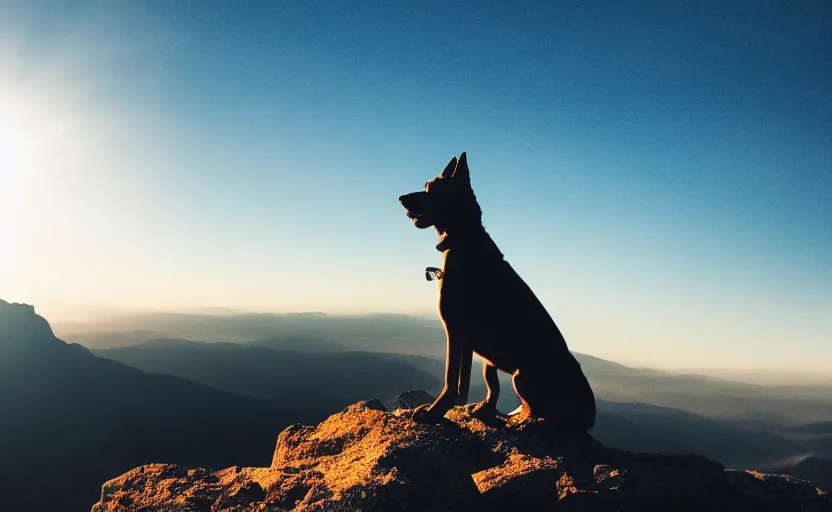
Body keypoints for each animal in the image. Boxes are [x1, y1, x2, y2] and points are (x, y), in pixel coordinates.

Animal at [400, 152, 596, 432]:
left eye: (432, 189)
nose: (401, 198)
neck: (464, 238)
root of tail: (590, 415)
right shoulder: (473, 347)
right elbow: (477, 384)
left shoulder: (454, 332)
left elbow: (450, 380)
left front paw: (434, 411)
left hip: (522, 375)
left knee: (541, 414)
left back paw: (524, 422)